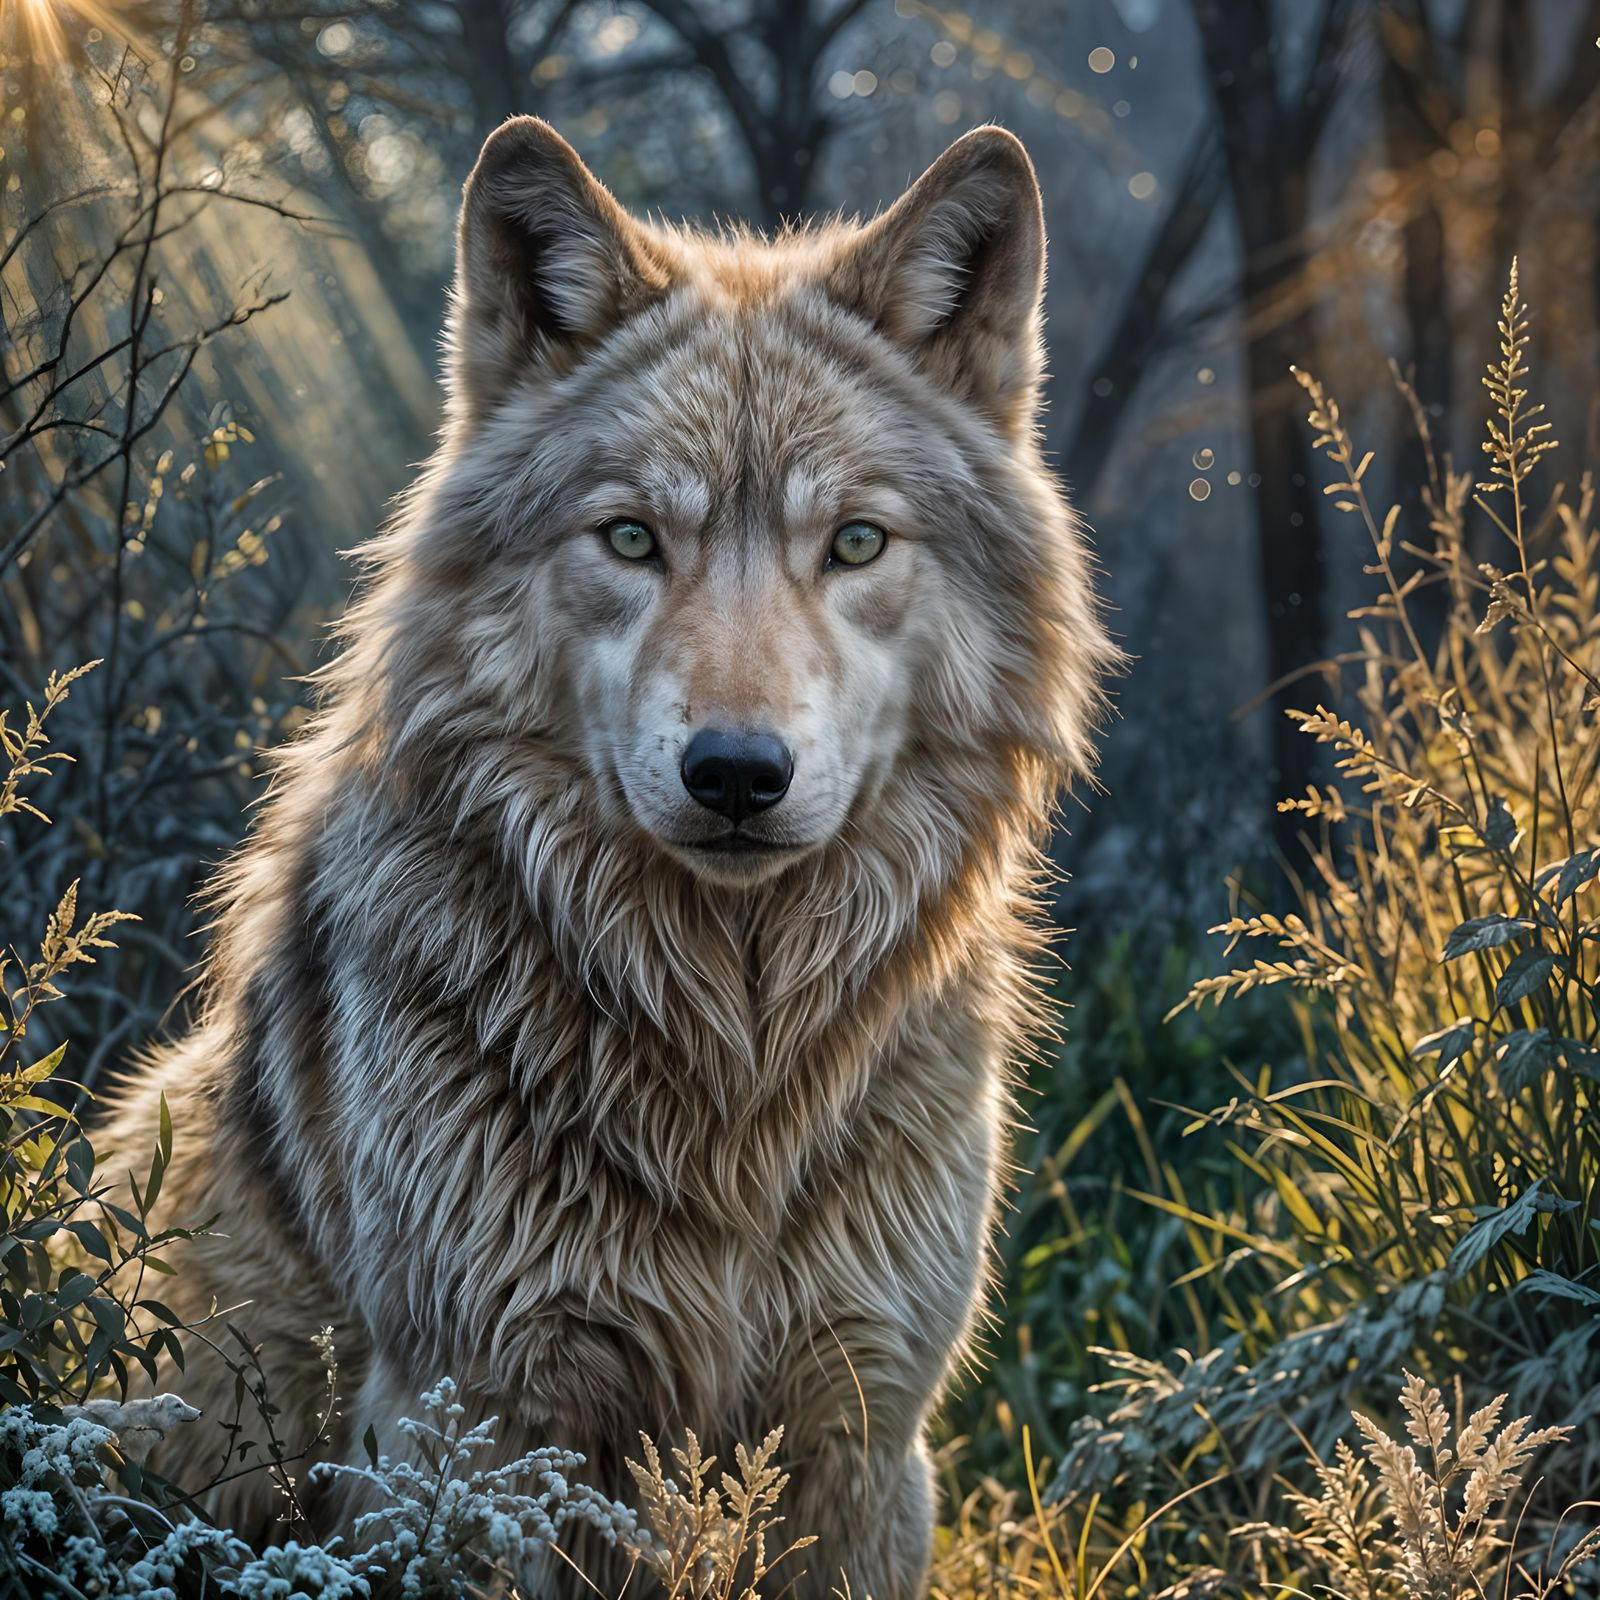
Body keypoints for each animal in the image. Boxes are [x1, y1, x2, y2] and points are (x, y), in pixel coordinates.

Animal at [100, 118, 1115, 1598]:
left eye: (855, 541)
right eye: (632, 537)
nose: (737, 773)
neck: (731, 1070)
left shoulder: (861, 1430)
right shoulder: (469, 1430)